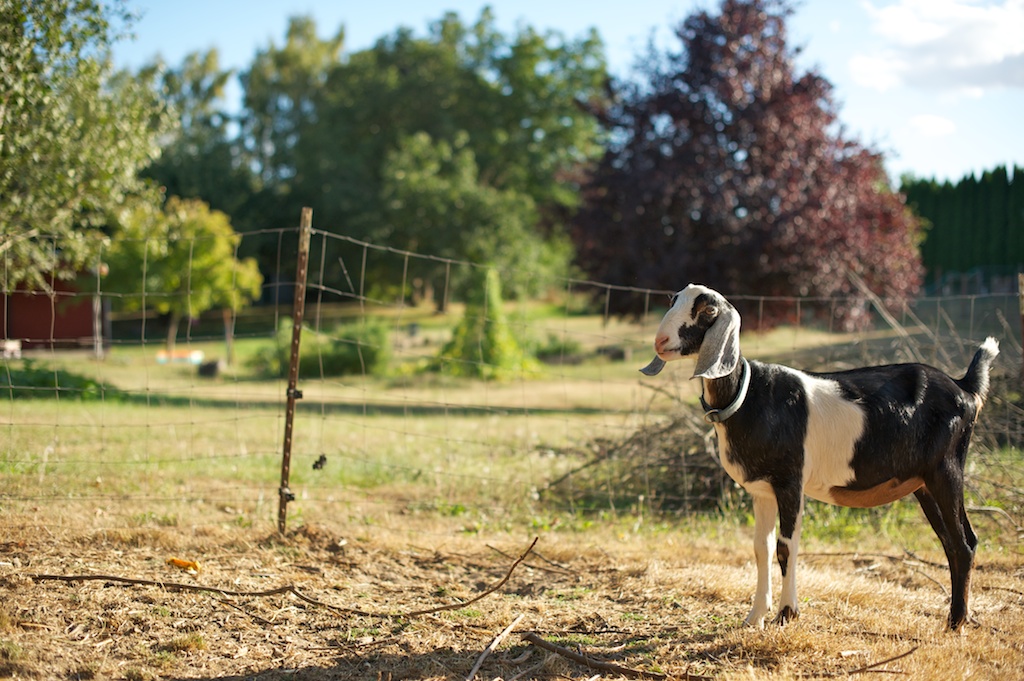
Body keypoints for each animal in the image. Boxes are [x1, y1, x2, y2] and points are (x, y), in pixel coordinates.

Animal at [638, 282, 999, 630]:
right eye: (673, 300)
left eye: (708, 310)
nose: (660, 341)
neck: (749, 395)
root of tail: (965, 388)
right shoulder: (762, 490)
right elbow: (761, 548)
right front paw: (755, 617)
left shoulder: (790, 482)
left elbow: (786, 547)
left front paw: (786, 614)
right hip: (922, 483)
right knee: (951, 542)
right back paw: (959, 617)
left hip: (947, 468)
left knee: (964, 542)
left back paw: (956, 623)